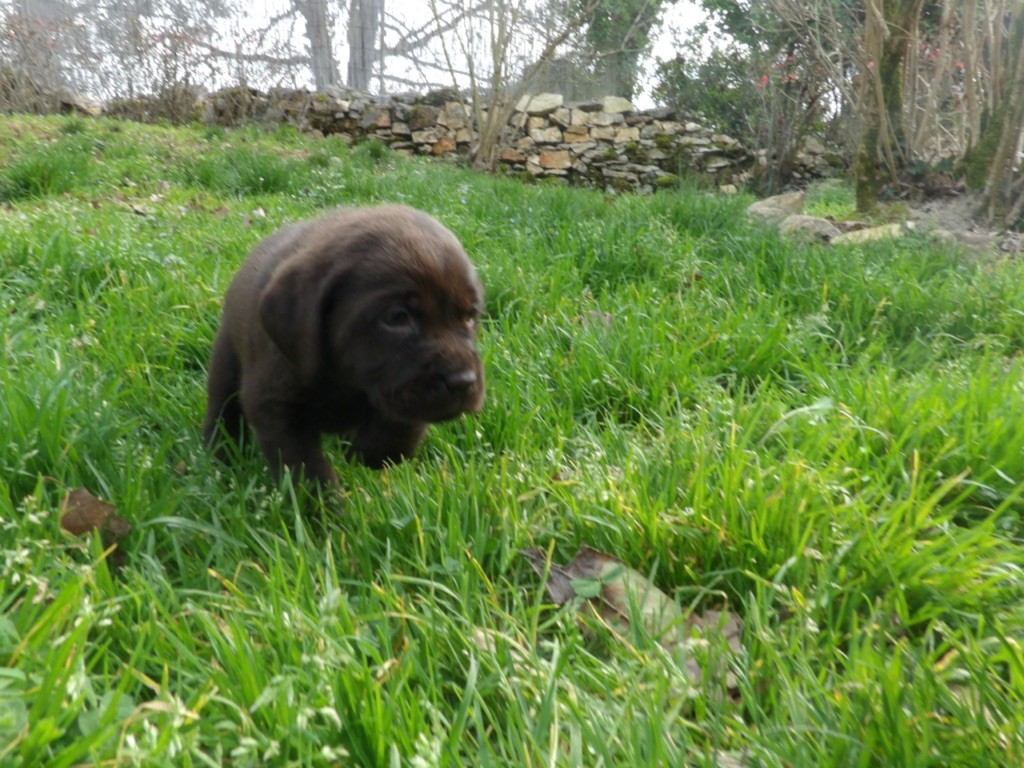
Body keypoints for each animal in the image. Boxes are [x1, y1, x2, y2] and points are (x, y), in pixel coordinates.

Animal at [205, 205, 485, 487]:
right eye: (397, 317)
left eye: (470, 315)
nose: (463, 382)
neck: (345, 379)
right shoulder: (274, 404)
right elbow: (304, 467)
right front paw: (321, 499)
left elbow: (398, 433)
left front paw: (367, 454)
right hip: (225, 358)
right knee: (221, 408)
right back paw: (219, 454)